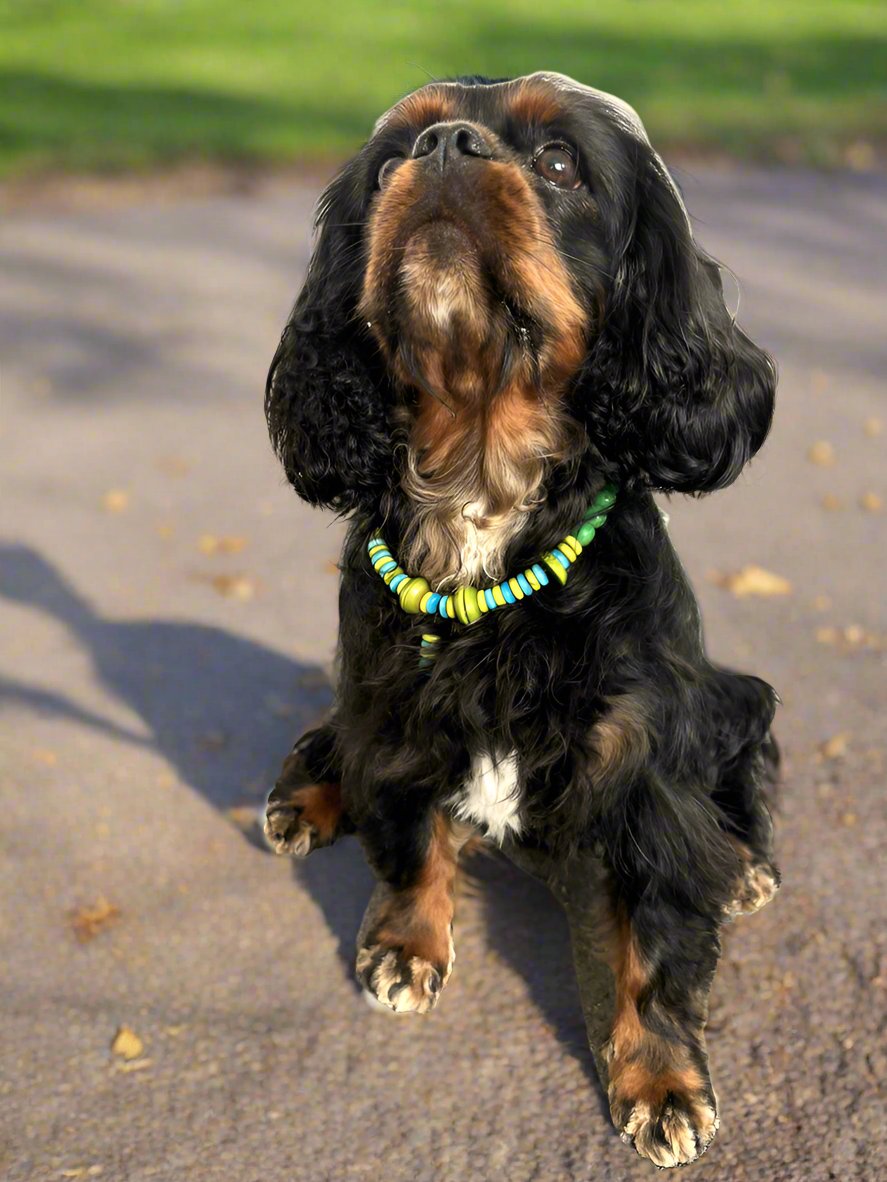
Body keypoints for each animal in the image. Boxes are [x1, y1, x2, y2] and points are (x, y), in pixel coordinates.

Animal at [262, 76, 775, 1172]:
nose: (445, 149)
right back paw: (302, 800)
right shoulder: (394, 711)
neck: (479, 484)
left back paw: (744, 867)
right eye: (388, 160)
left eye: (559, 163)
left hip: (739, 703)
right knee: (331, 742)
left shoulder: (641, 770)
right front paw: (404, 946)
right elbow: (408, 838)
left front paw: (658, 1083)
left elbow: (648, 948)